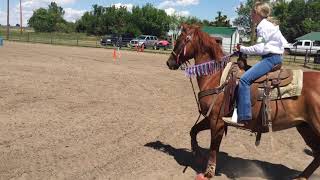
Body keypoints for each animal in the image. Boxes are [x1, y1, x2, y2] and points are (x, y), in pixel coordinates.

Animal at [166, 24, 318, 180]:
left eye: (180, 39)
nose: (169, 62)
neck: (216, 77)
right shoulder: (210, 119)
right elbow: (193, 130)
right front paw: (197, 152)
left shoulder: (216, 121)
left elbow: (214, 147)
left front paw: (209, 172)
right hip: (305, 128)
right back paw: (301, 176)